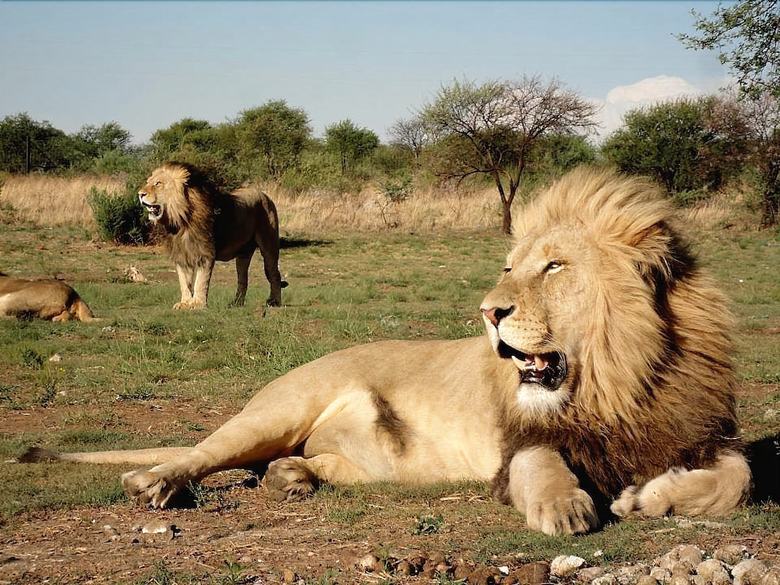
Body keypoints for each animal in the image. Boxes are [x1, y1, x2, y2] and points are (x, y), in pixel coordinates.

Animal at [138, 162, 288, 309]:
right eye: (148, 182)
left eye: (158, 183)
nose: (140, 194)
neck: (181, 220)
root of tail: (264, 194)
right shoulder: (181, 253)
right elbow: (184, 282)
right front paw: (185, 303)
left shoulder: (205, 253)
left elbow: (200, 281)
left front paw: (197, 304)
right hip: (243, 254)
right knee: (243, 279)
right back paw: (236, 303)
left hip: (269, 245)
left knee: (275, 274)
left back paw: (274, 302)